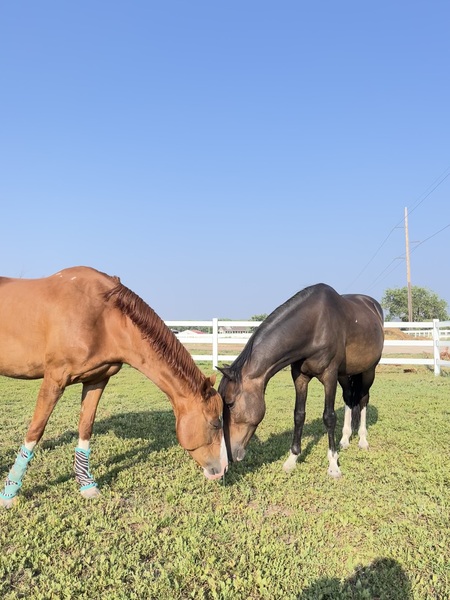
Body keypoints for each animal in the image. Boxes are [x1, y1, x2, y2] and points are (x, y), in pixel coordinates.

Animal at [0, 268, 227, 506]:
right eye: (215, 423)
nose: (222, 469)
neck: (103, 315)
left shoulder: (96, 380)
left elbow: (86, 426)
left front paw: (87, 486)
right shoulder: (55, 380)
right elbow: (36, 430)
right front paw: (9, 494)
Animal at [218, 282, 384, 478]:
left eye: (230, 404)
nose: (228, 454)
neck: (314, 326)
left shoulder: (329, 376)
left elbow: (329, 417)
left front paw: (333, 465)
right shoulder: (300, 377)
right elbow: (298, 415)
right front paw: (292, 459)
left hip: (368, 371)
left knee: (363, 398)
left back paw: (363, 440)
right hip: (344, 374)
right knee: (350, 398)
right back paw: (344, 439)